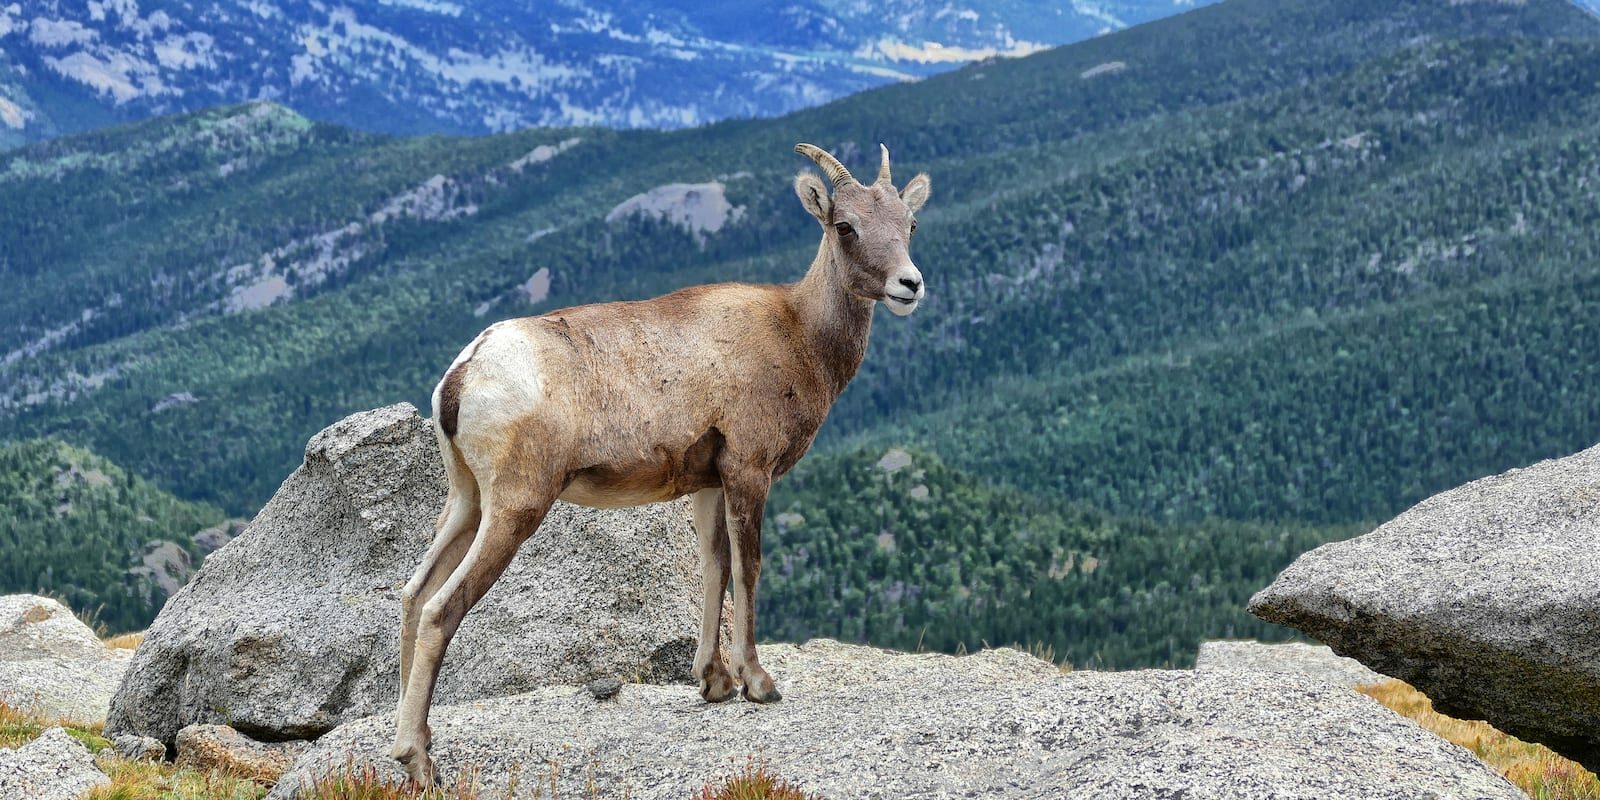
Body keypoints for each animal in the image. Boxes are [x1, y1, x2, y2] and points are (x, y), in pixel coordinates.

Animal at [392, 140, 934, 784]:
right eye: (845, 226)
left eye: (909, 223)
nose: (909, 284)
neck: (798, 334)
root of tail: (462, 375)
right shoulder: (748, 471)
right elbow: (747, 568)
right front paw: (758, 684)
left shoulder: (707, 483)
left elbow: (713, 568)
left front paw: (714, 683)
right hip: (515, 509)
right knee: (440, 610)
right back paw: (420, 761)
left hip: (467, 503)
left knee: (413, 594)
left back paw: (404, 744)